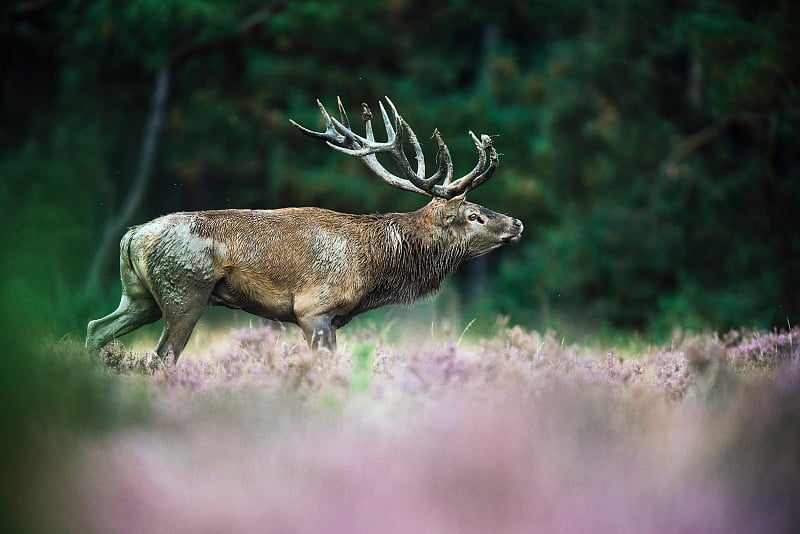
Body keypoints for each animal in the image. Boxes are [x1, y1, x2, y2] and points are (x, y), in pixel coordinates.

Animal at [87, 98, 520, 362]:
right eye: (474, 215)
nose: (516, 222)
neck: (375, 267)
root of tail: (131, 235)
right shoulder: (314, 309)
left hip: (139, 295)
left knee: (96, 328)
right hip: (185, 291)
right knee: (162, 355)